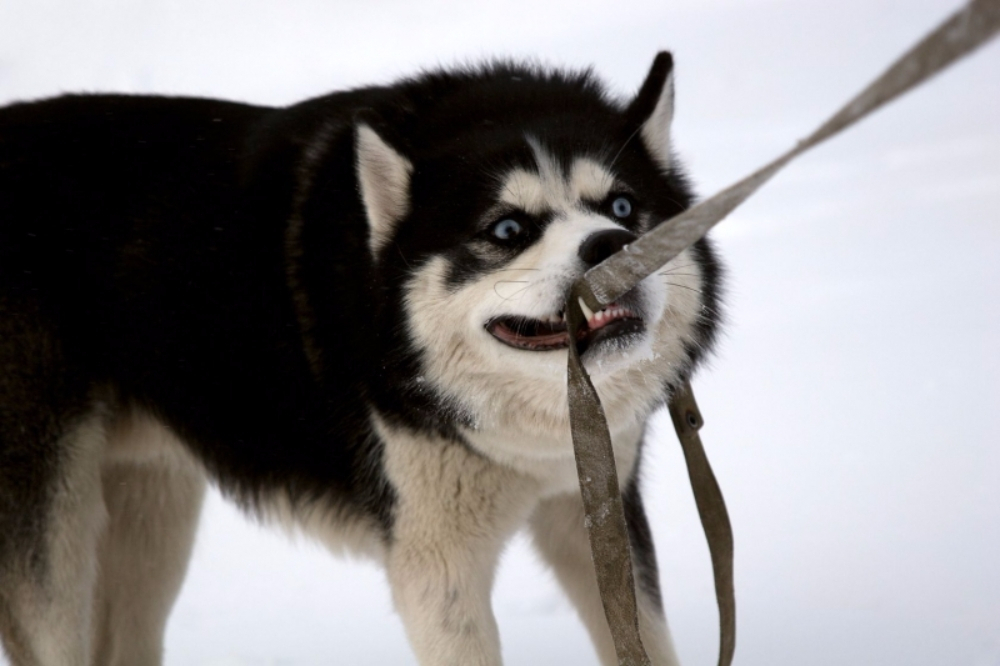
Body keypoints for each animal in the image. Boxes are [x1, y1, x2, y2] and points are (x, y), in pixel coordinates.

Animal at [0, 53, 720, 664]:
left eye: (623, 205)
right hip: (55, 544)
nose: (611, 244)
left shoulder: (593, 509)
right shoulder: (436, 568)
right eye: (508, 229)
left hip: (151, 512)